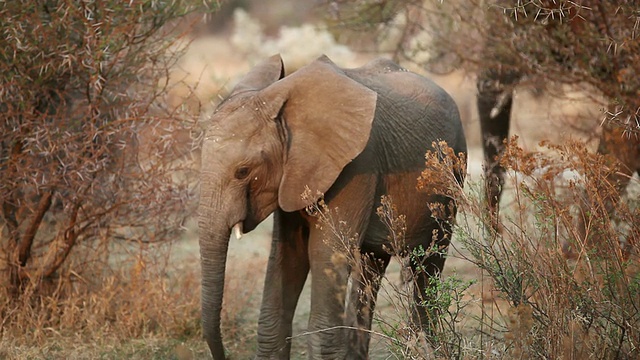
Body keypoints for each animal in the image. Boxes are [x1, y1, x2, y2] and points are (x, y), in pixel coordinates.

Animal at [198, 54, 468, 360]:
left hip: (452, 175)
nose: (223, 354)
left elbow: (324, 256)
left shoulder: (357, 166)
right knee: (371, 269)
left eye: (242, 171)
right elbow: (287, 256)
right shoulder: (294, 175)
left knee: (428, 264)